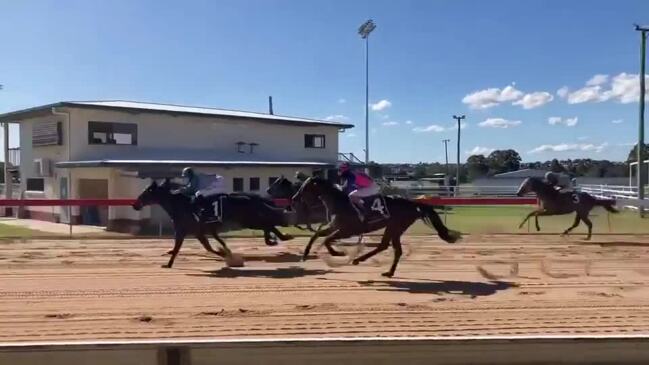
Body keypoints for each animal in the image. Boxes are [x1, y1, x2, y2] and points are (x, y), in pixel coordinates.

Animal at [134, 179, 294, 268]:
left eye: (147, 192)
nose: (135, 205)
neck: (181, 206)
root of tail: (251, 198)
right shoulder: (199, 233)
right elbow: (209, 247)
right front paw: (225, 253)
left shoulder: (182, 231)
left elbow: (177, 248)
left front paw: (168, 264)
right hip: (249, 220)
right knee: (268, 224)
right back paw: (277, 238)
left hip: (249, 220)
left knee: (268, 224)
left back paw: (280, 238)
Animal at [292, 176, 458, 276]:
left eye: (305, 187)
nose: (294, 198)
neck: (340, 203)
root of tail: (413, 204)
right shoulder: (335, 227)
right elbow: (317, 235)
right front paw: (305, 255)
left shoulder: (348, 230)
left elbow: (326, 239)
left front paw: (337, 253)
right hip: (394, 228)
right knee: (389, 247)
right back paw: (386, 271)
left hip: (395, 226)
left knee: (388, 247)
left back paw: (364, 262)